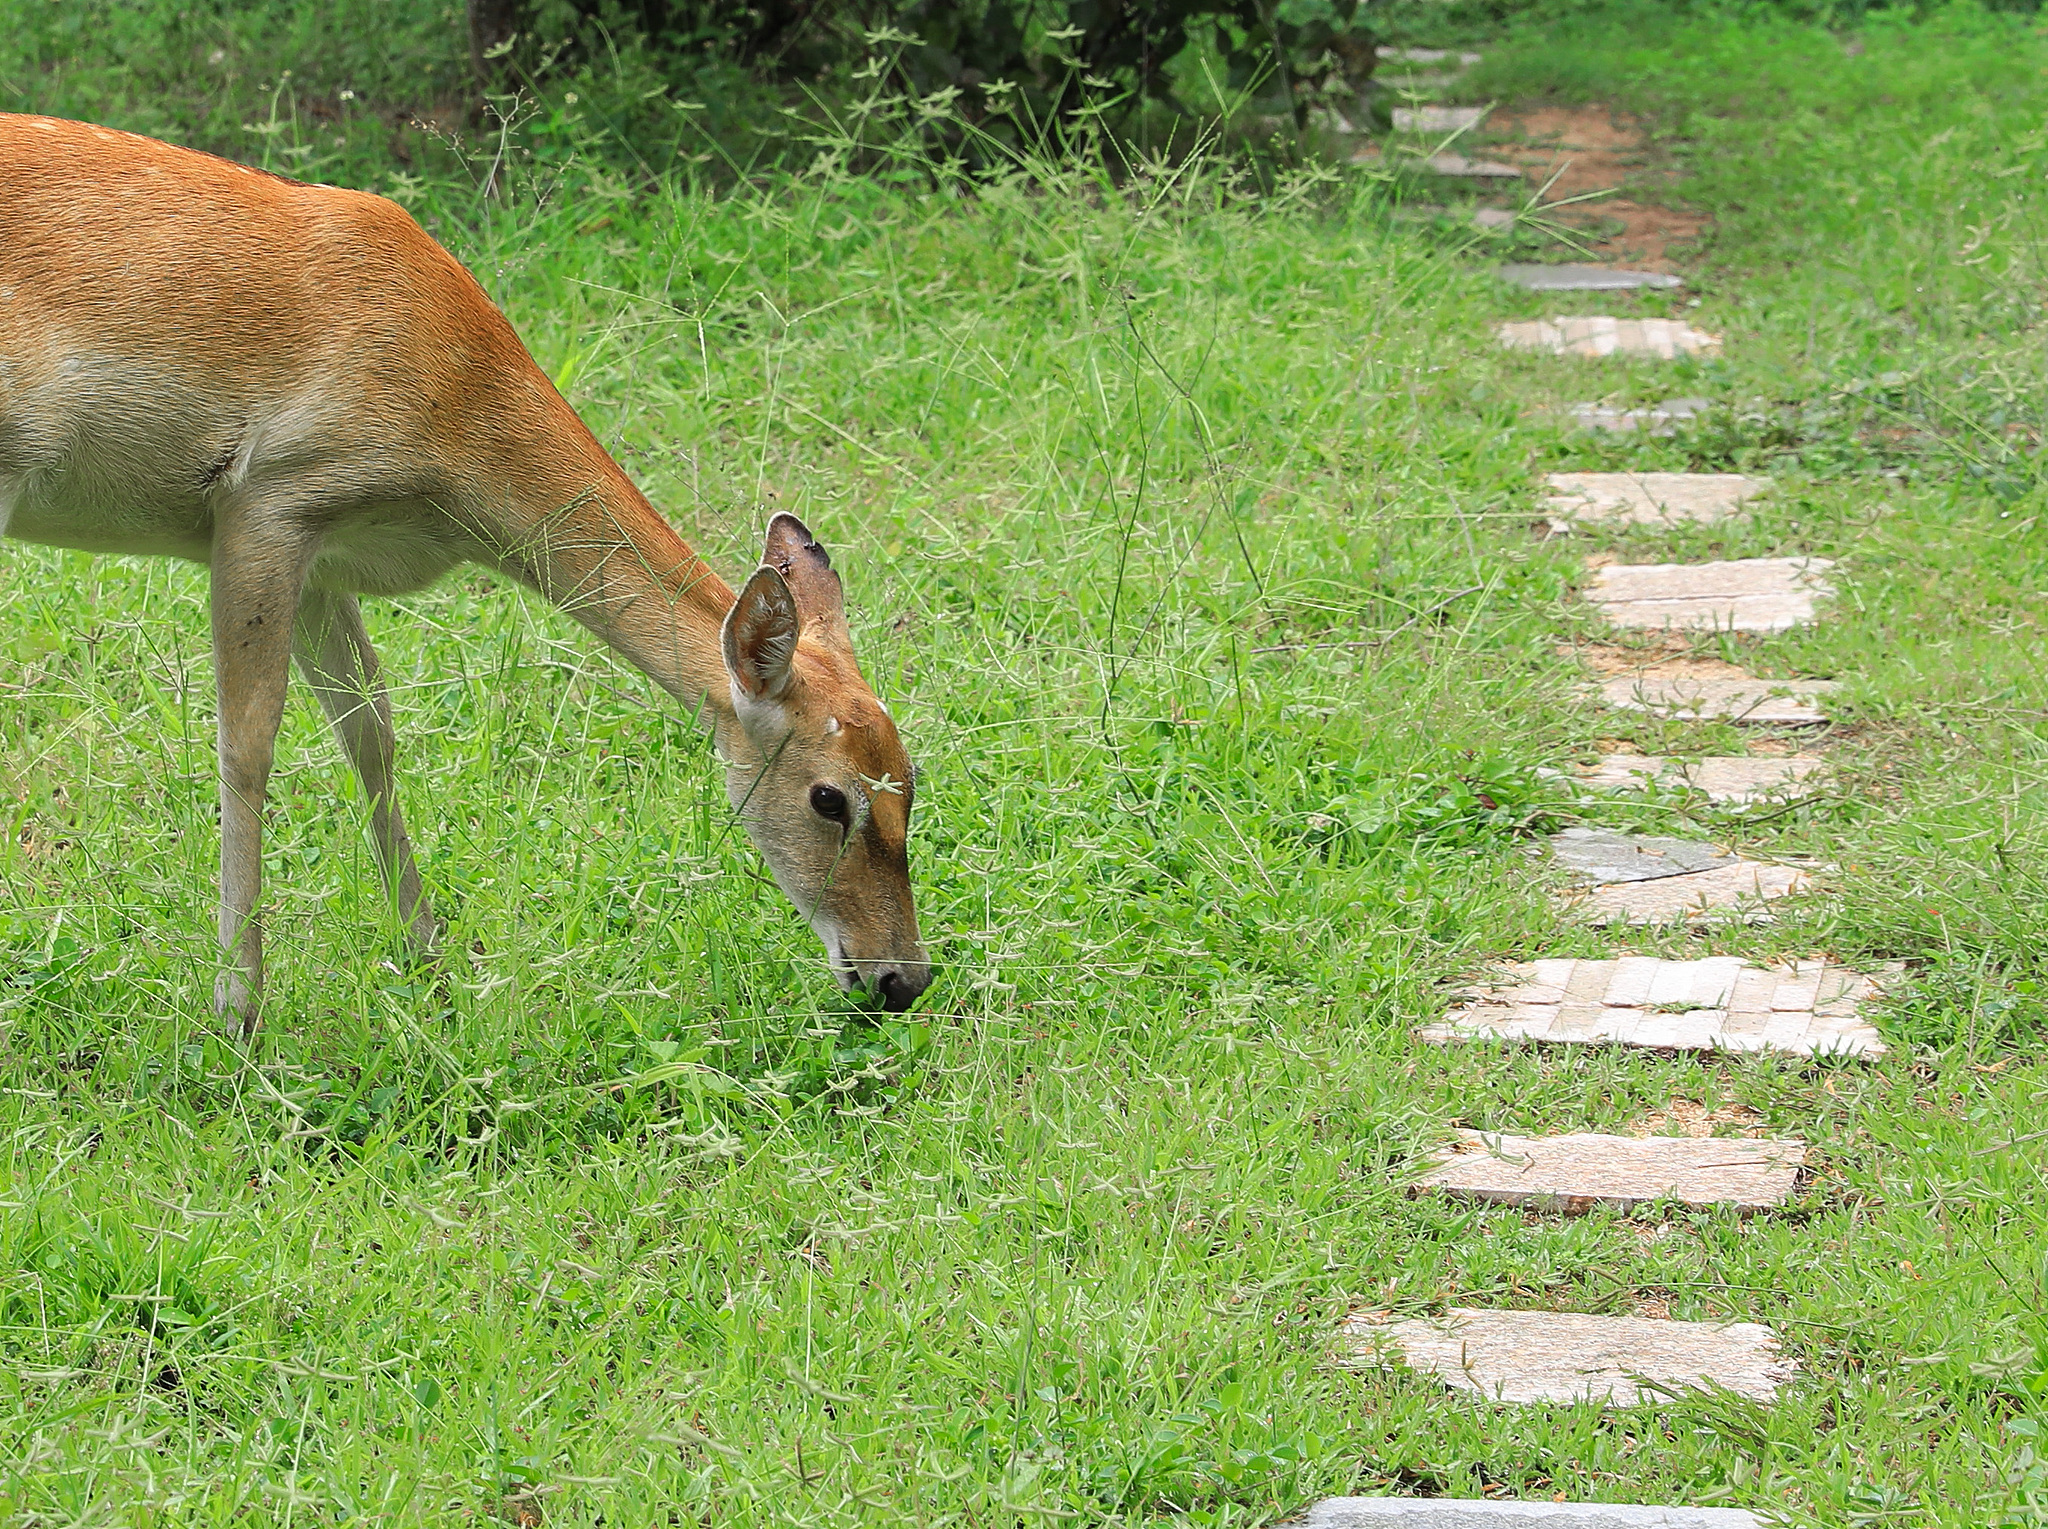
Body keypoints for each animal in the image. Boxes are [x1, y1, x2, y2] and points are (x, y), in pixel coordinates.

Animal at [0, 113, 930, 1028]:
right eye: (829, 796)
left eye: (912, 781)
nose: (902, 978)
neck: (455, 430)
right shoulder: (267, 501)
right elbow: (248, 744)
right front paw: (240, 1009)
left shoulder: (323, 556)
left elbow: (370, 731)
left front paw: (436, 965)